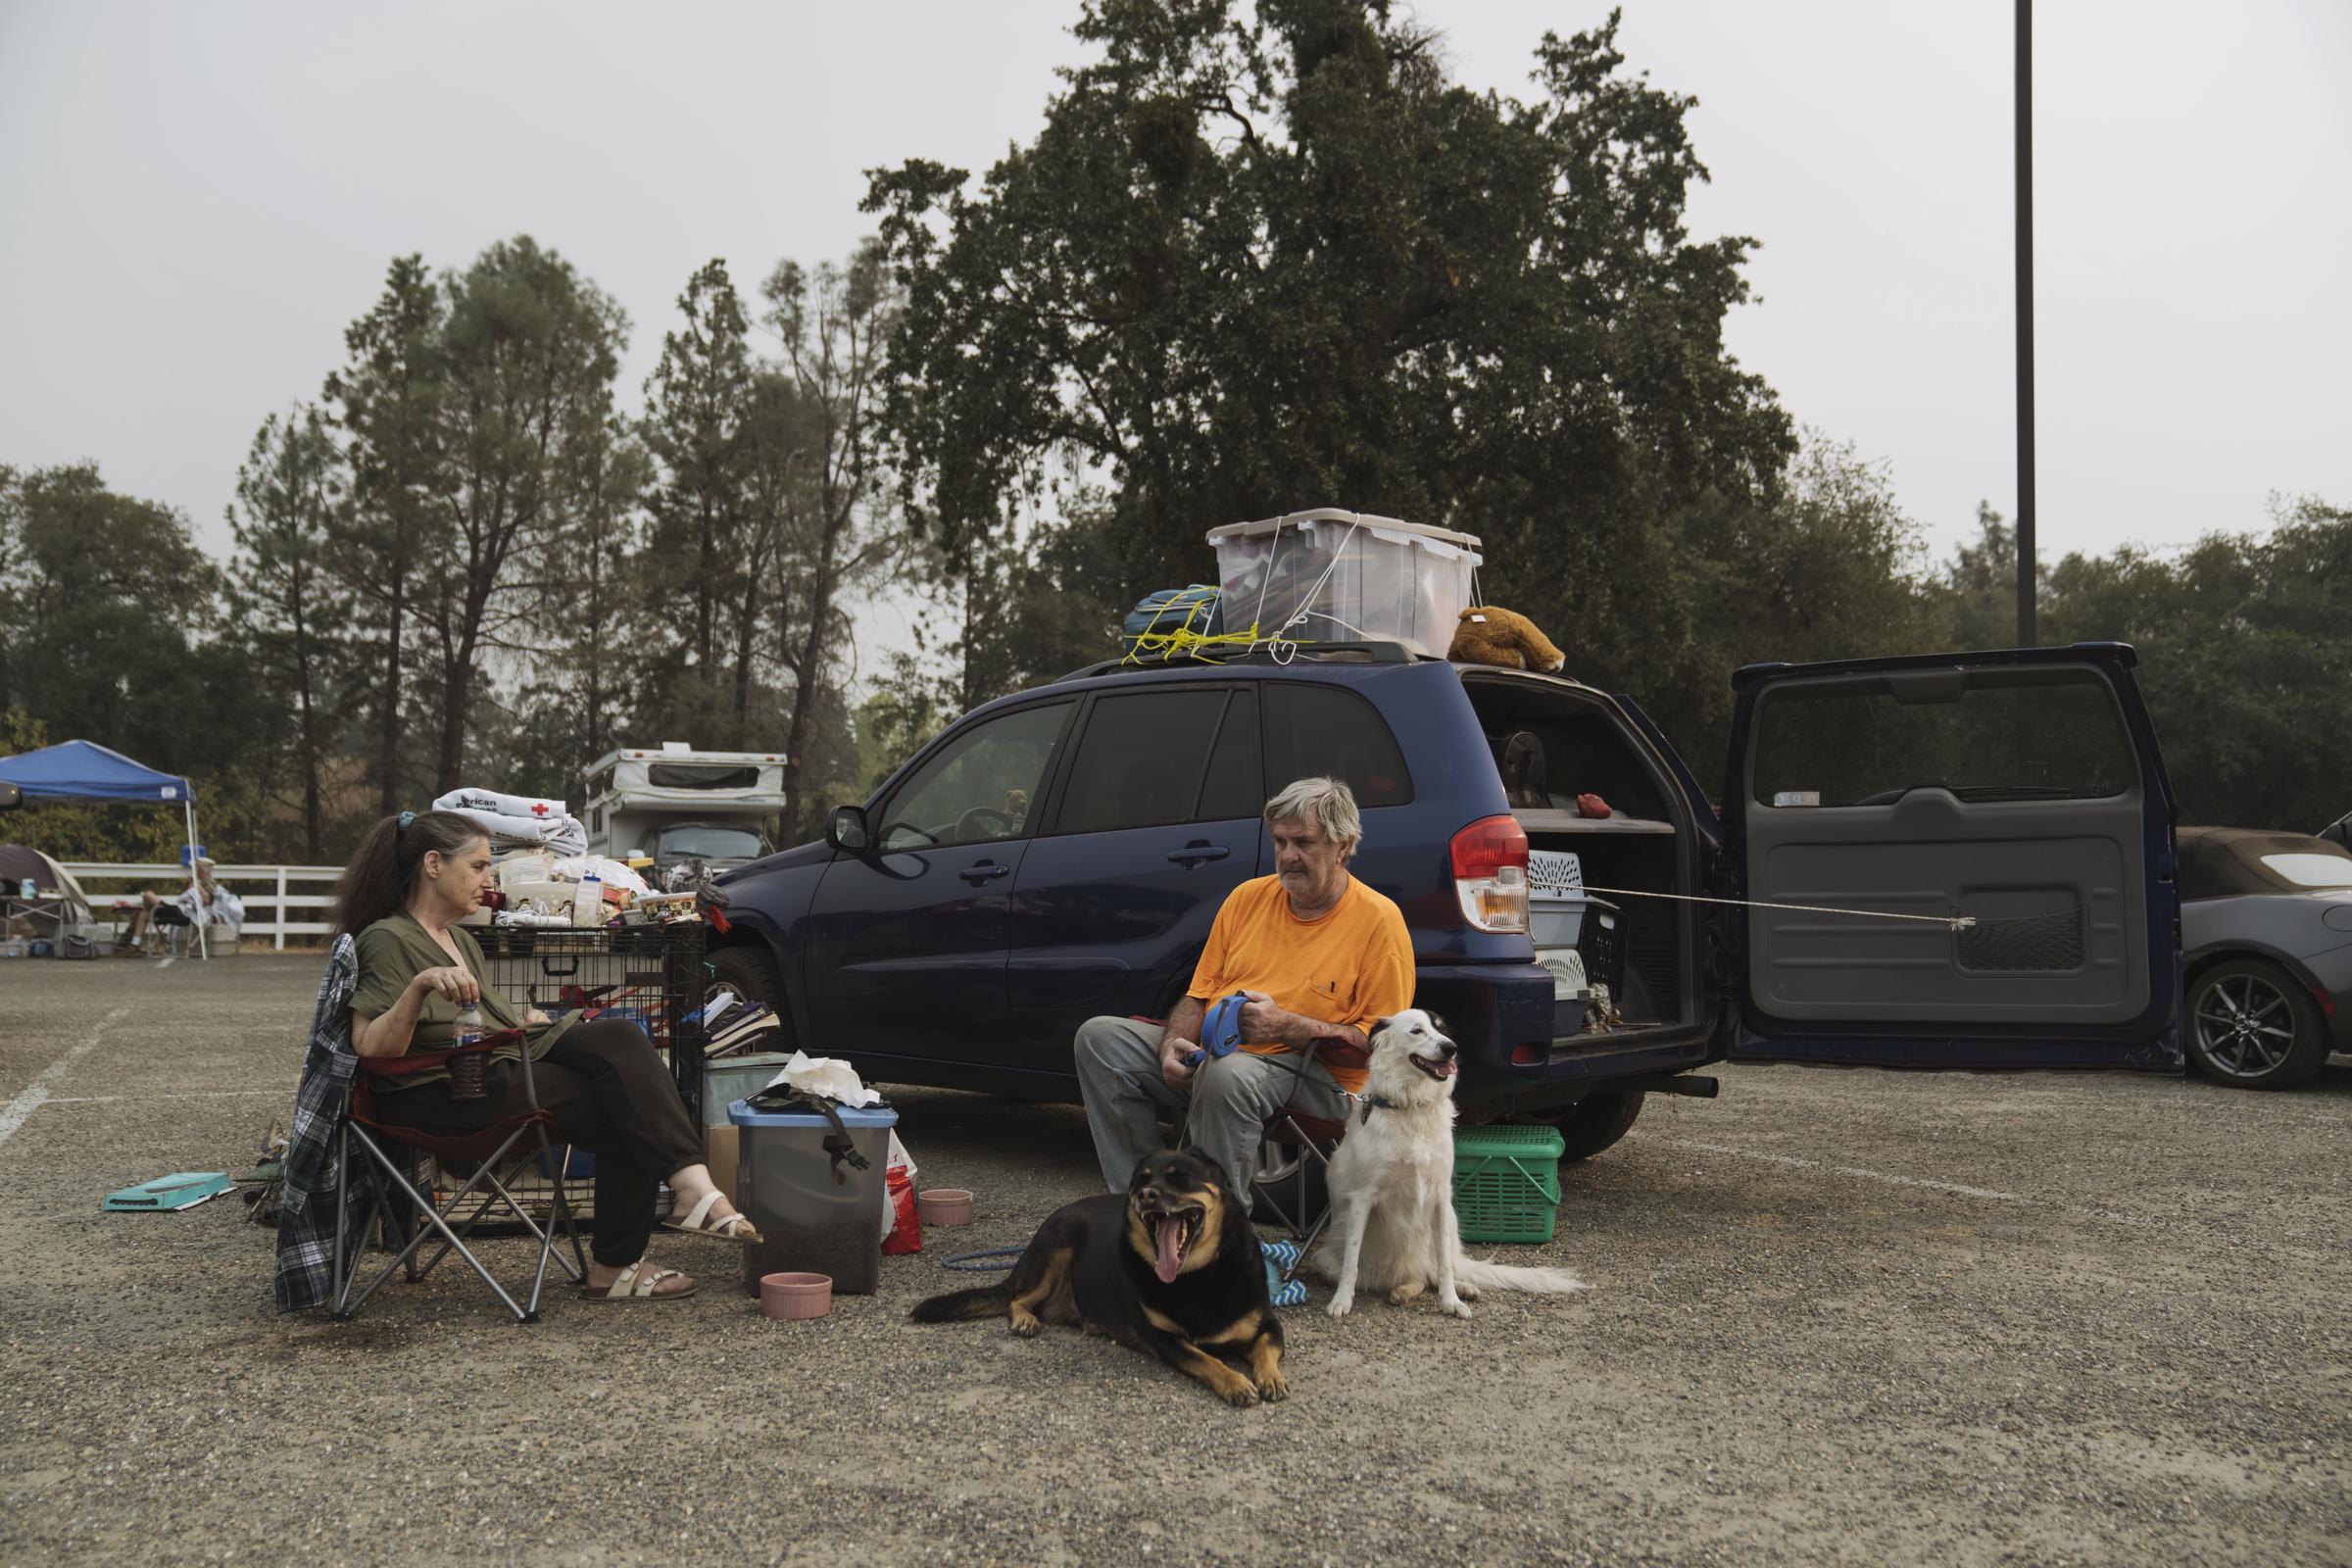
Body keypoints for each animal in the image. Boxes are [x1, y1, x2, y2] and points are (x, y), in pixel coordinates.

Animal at [912, 1147, 1289, 1400]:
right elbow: (1206, 1359)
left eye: (1179, 1176)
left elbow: (1265, 1348)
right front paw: (1235, 1382)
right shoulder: (1165, 1340)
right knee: (1017, 1298)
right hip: (1060, 1242)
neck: (1197, 1275)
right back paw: (1024, 1319)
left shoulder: (1269, 1325)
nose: (1145, 1195)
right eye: (1141, 1180)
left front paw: (1270, 1377)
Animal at [1317, 1010, 1590, 1316]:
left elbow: (1445, 1266)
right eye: (1416, 1031)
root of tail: (1402, 1272)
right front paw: (1341, 1300)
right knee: (1415, 1278)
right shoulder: (1362, 1198)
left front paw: (1451, 1302)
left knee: (1434, 1272)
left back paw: (1461, 1288)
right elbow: (1351, 1262)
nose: (1451, 1048)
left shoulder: (1439, 1197)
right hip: (1324, 1257)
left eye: (1443, 1029)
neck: (1411, 1106)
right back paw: (1403, 1290)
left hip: (1450, 1222)